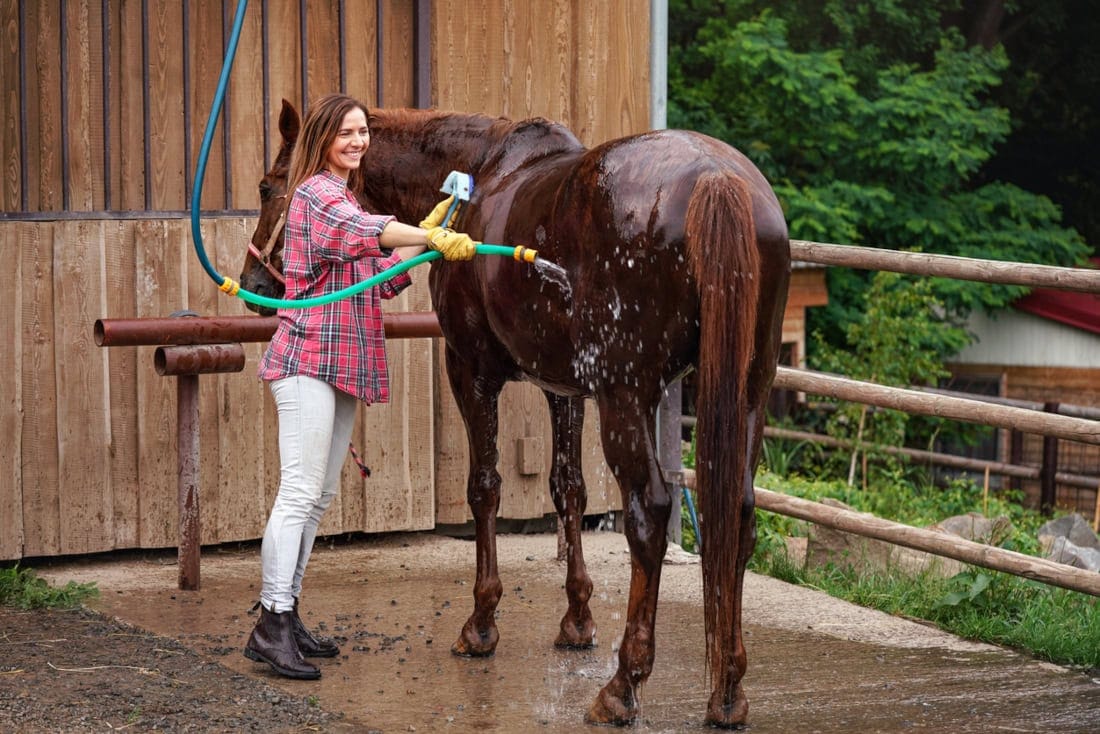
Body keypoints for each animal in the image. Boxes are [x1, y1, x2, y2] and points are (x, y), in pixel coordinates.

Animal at [241, 99, 790, 728]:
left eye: (269, 187)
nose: (255, 282)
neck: (480, 173)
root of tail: (716, 179)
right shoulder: (566, 389)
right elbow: (567, 489)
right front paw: (577, 621)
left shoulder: (471, 372)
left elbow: (485, 487)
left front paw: (480, 626)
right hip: (747, 394)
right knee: (739, 513)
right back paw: (727, 691)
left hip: (629, 398)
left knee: (649, 512)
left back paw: (622, 687)